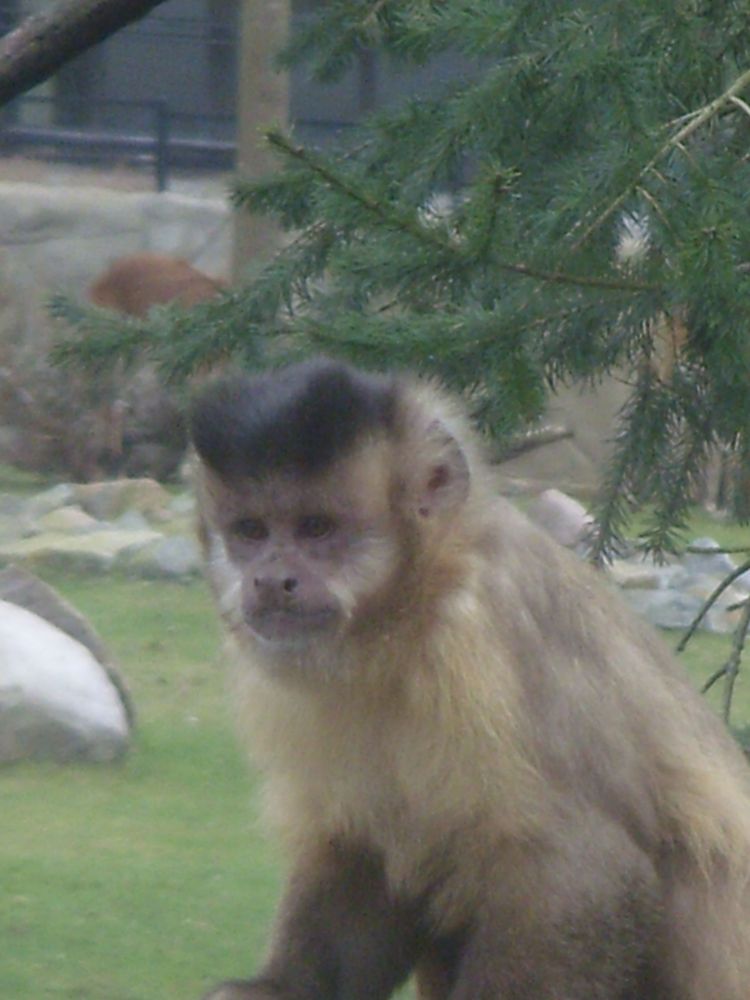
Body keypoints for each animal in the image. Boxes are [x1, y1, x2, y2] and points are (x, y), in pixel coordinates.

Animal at [188, 360, 750, 1000]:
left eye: (316, 528)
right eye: (251, 531)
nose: (270, 579)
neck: (406, 620)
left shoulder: (482, 644)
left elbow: (587, 875)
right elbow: (365, 855)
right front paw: (278, 988)